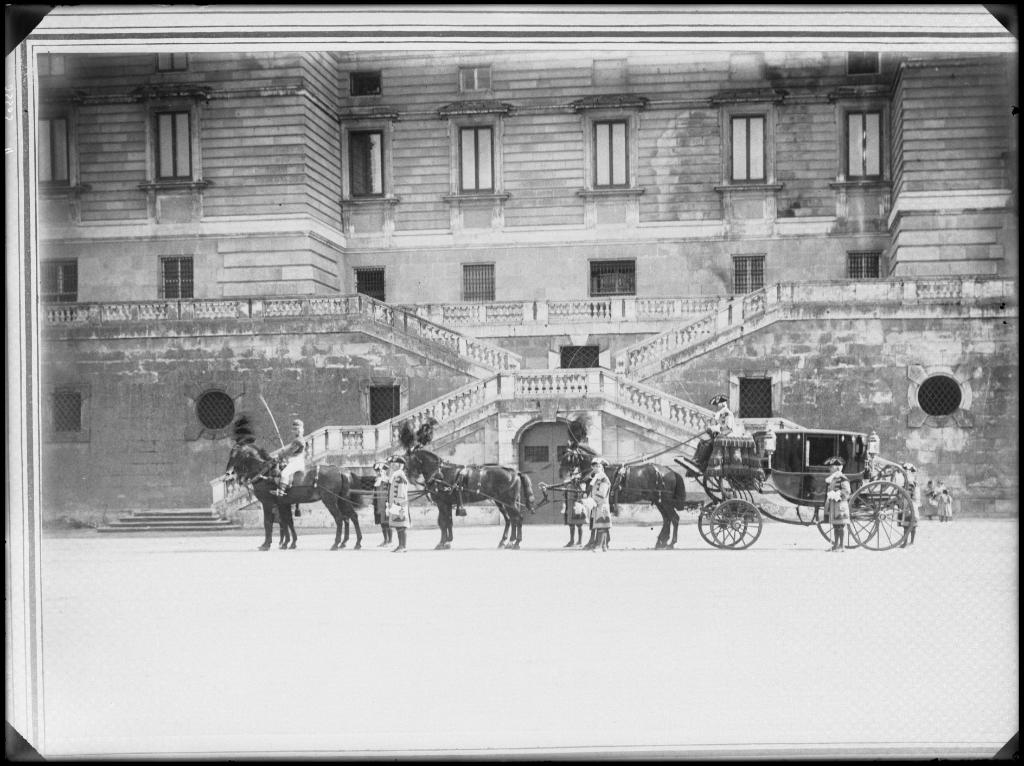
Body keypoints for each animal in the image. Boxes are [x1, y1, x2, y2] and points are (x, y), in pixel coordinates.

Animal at [226, 436, 366, 548]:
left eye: (234, 454)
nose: (228, 473)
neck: (265, 472)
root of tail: (340, 470)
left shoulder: (267, 503)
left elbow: (268, 522)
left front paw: (267, 544)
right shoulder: (284, 503)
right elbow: (288, 521)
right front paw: (290, 543)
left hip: (330, 500)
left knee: (339, 518)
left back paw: (336, 543)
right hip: (342, 500)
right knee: (351, 517)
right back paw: (355, 542)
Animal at [403, 448, 540, 548]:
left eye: (407, 459)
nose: (405, 474)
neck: (439, 473)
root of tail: (515, 472)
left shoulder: (442, 504)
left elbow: (443, 522)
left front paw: (442, 543)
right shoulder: (447, 504)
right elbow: (448, 522)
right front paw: (448, 541)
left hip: (508, 502)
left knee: (518, 518)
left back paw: (516, 542)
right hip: (502, 502)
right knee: (510, 519)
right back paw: (506, 541)